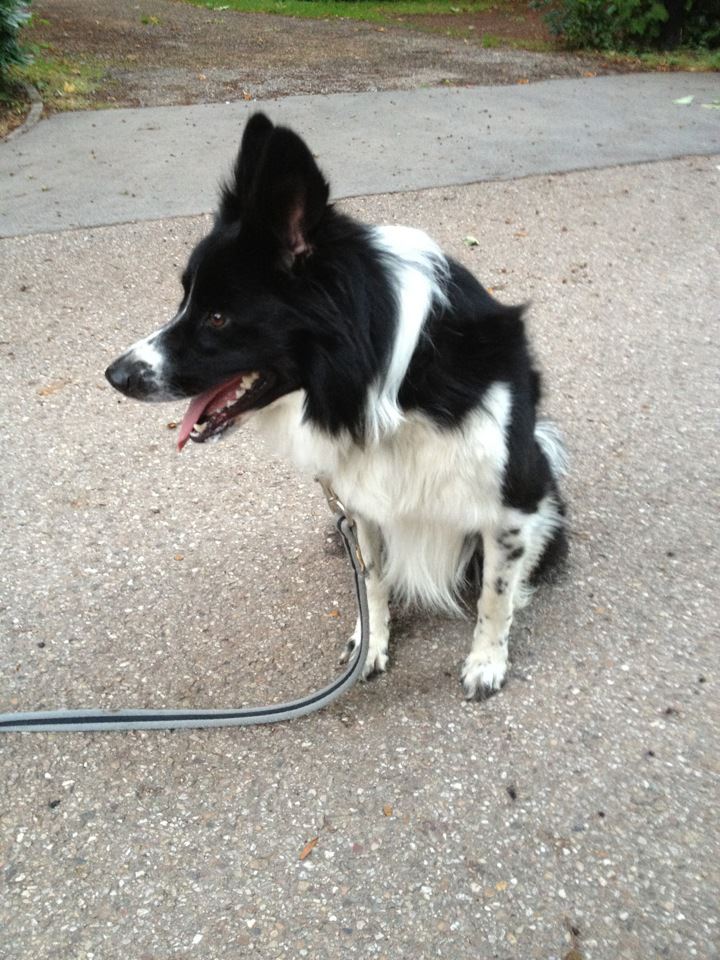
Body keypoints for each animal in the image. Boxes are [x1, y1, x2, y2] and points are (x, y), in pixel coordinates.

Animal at [107, 112, 568, 700]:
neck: (390, 386)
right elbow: (371, 582)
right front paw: (371, 645)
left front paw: (487, 661)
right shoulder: (362, 501)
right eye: (185, 299)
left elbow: (495, 594)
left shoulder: (510, 504)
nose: (115, 375)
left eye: (218, 317)